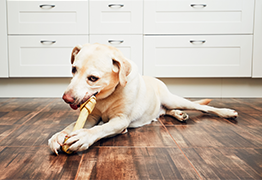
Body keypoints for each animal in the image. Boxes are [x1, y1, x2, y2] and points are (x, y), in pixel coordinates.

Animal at [48, 43, 238, 155]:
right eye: (73, 70)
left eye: (93, 78)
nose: (66, 98)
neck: (107, 96)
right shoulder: (91, 116)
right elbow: (73, 125)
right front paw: (59, 135)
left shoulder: (121, 120)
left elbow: (100, 128)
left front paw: (83, 137)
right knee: (166, 111)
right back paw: (178, 114)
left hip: (174, 99)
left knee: (203, 107)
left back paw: (227, 112)